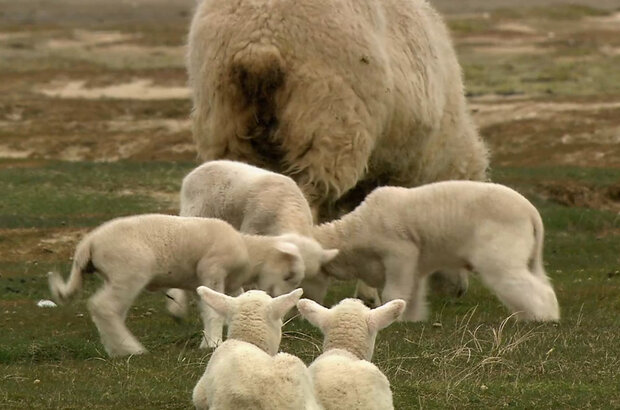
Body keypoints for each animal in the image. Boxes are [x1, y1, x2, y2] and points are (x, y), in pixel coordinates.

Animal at [47, 213, 308, 358]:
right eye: (289, 275)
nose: (287, 312)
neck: (247, 251)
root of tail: (88, 244)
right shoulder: (212, 270)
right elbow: (213, 312)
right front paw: (213, 344)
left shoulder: (210, 283)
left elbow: (219, 307)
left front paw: (211, 340)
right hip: (128, 272)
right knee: (104, 307)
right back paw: (130, 349)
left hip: (116, 276)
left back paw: (116, 348)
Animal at [166, 160, 340, 346]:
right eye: (288, 275)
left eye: (299, 282)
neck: (288, 208)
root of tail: (200, 168)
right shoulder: (253, 227)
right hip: (196, 212)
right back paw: (176, 304)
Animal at [312, 181, 560, 322]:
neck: (355, 232)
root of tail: (532, 213)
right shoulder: (414, 263)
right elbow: (412, 291)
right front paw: (411, 319)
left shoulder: (400, 252)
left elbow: (394, 292)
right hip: (527, 255)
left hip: (501, 250)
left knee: (522, 284)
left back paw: (543, 317)